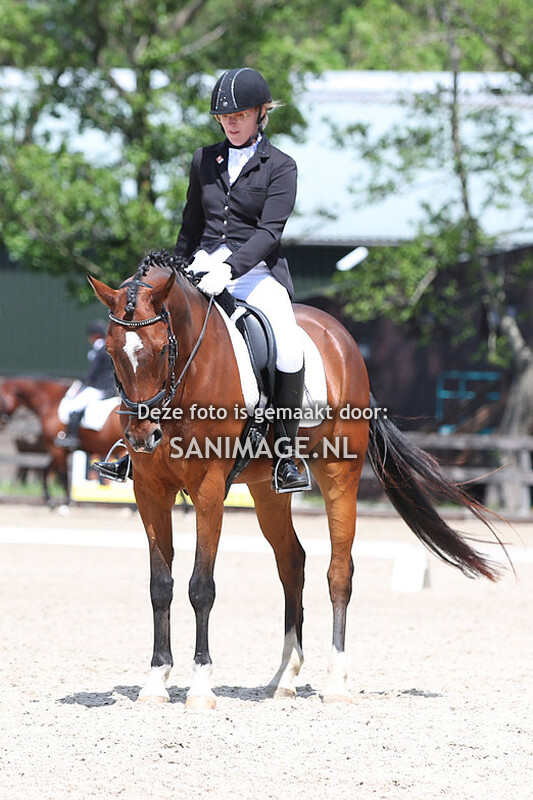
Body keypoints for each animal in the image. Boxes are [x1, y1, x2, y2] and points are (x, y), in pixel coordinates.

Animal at [89, 250, 507, 709]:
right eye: (111, 351)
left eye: (162, 349)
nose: (142, 436)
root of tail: (344, 340)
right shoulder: (150, 492)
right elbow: (160, 585)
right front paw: (155, 681)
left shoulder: (209, 491)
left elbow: (201, 586)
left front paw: (200, 687)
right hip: (266, 490)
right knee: (293, 562)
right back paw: (284, 677)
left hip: (340, 475)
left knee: (339, 573)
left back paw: (336, 682)